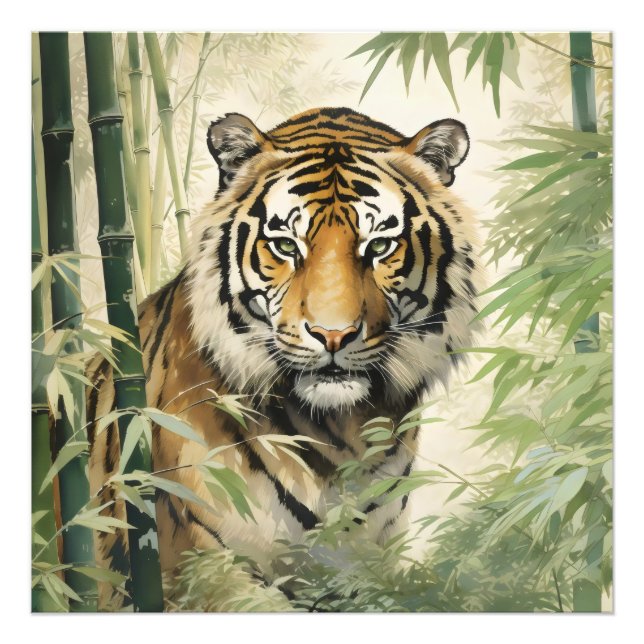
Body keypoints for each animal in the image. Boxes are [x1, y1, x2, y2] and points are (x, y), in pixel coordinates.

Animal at [87, 106, 481, 608]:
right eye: (286, 246)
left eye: (378, 246)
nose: (333, 335)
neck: (340, 438)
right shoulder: (200, 570)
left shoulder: (371, 569)